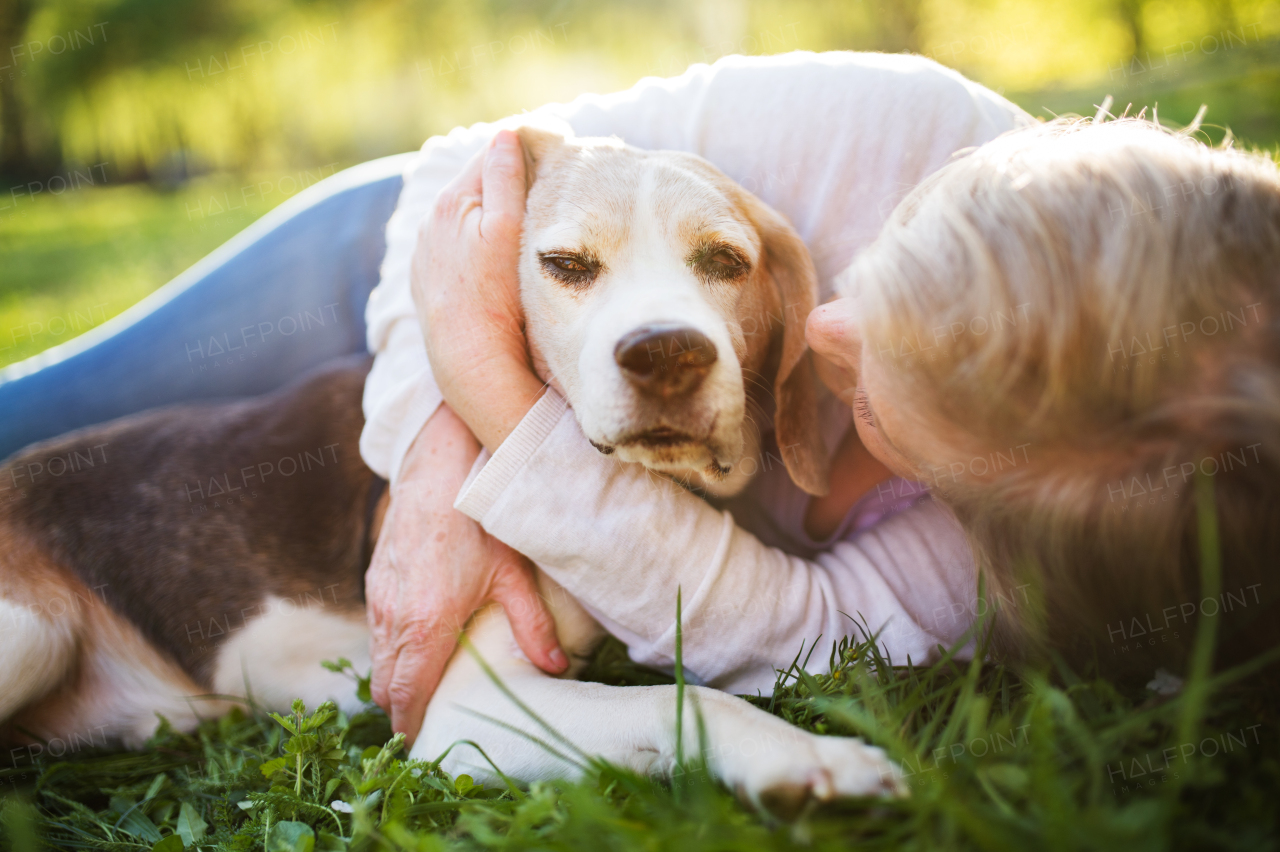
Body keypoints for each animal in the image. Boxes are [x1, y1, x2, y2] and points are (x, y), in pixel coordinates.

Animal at [0, 127, 901, 808]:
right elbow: (683, 699)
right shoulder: (468, 707)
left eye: (725, 262)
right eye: (567, 264)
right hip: (33, 631)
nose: (667, 353)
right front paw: (800, 757)